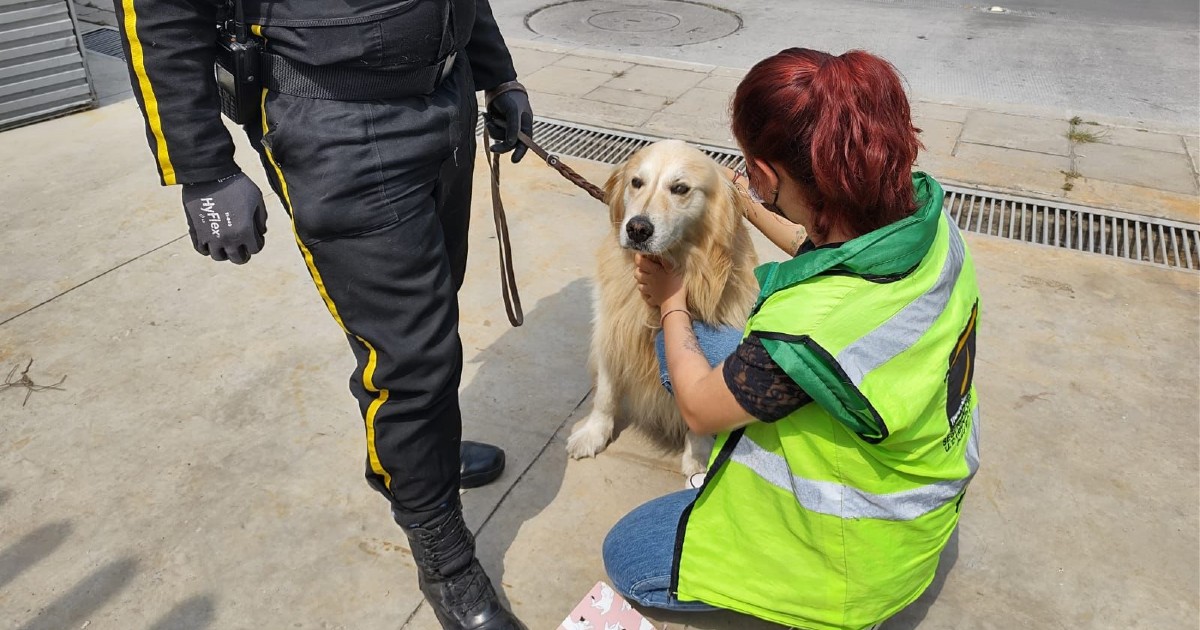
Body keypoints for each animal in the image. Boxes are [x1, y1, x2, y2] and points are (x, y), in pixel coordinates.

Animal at [564, 141, 753, 477]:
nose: (637, 229)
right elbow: (605, 395)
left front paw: (699, 456)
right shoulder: (611, 328)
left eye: (680, 188)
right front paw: (594, 433)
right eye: (636, 182)